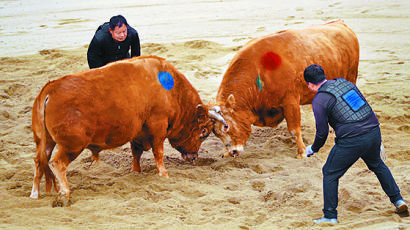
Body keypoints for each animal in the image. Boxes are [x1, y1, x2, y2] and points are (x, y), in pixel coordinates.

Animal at [30, 55, 213, 201]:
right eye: (203, 132)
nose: (194, 157)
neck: (169, 89)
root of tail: (50, 89)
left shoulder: (138, 132)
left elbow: (136, 152)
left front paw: (136, 171)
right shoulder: (157, 126)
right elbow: (158, 152)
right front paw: (163, 174)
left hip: (45, 141)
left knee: (39, 162)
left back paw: (35, 194)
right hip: (72, 144)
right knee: (57, 163)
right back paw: (64, 192)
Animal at [210, 20, 360, 158]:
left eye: (226, 126)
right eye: (215, 132)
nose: (233, 151)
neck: (261, 71)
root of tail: (340, 24)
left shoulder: (290, 101)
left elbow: (294, 130)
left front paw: (301, 152)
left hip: (351, 76)